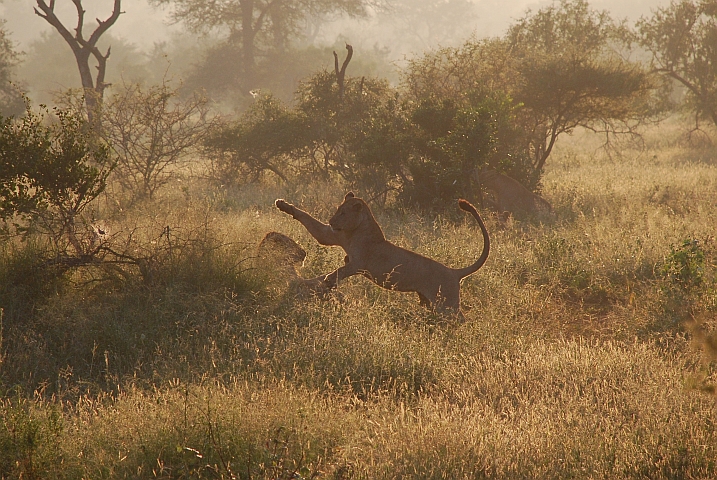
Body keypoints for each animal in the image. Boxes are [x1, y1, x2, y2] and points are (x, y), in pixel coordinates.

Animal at [274, 192, 490, 316]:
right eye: (338, 210)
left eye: (343, 213)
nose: (332, 221)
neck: (356, 230)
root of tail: (454, 272)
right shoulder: (331, 236)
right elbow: (307, 219)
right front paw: (282, 205)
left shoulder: (358, 263)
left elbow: (340, 271)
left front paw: (328, 281)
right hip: (431, 302)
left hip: (447, 305)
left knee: (459, 318)